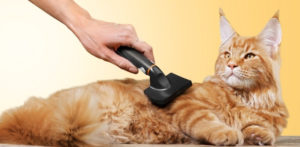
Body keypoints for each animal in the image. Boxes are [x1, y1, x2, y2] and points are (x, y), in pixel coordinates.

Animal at [0, 9, 288, 146]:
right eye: (227, 53)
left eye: (249, 56)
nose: (230, 65)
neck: (247, 97)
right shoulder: (188, 103)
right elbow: (206, 120)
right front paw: (226, 133)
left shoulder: (266, 119)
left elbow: (258, 127)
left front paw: (256, 135)